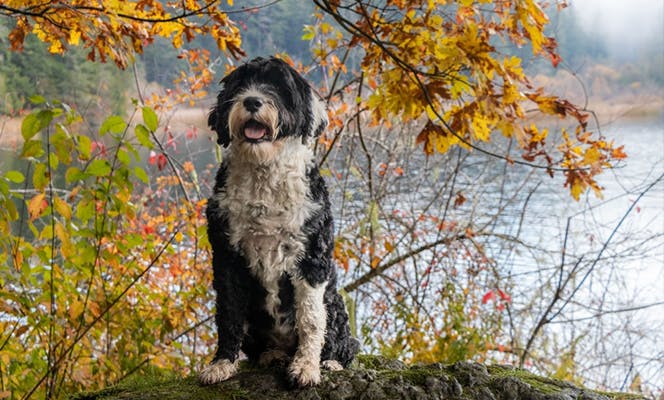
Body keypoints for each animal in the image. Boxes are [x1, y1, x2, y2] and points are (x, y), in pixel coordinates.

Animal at [200, 57, 360, 388]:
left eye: (279, 87)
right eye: (240, 85)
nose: (252, 100)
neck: (264, 173)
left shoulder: (311, 258)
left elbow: (310, 319)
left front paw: (306, 367)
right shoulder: (226, 257)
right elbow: (229, 313)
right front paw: (222, 362)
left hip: (335, 304)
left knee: (343, 341)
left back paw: (329, 361)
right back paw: (271, 355)